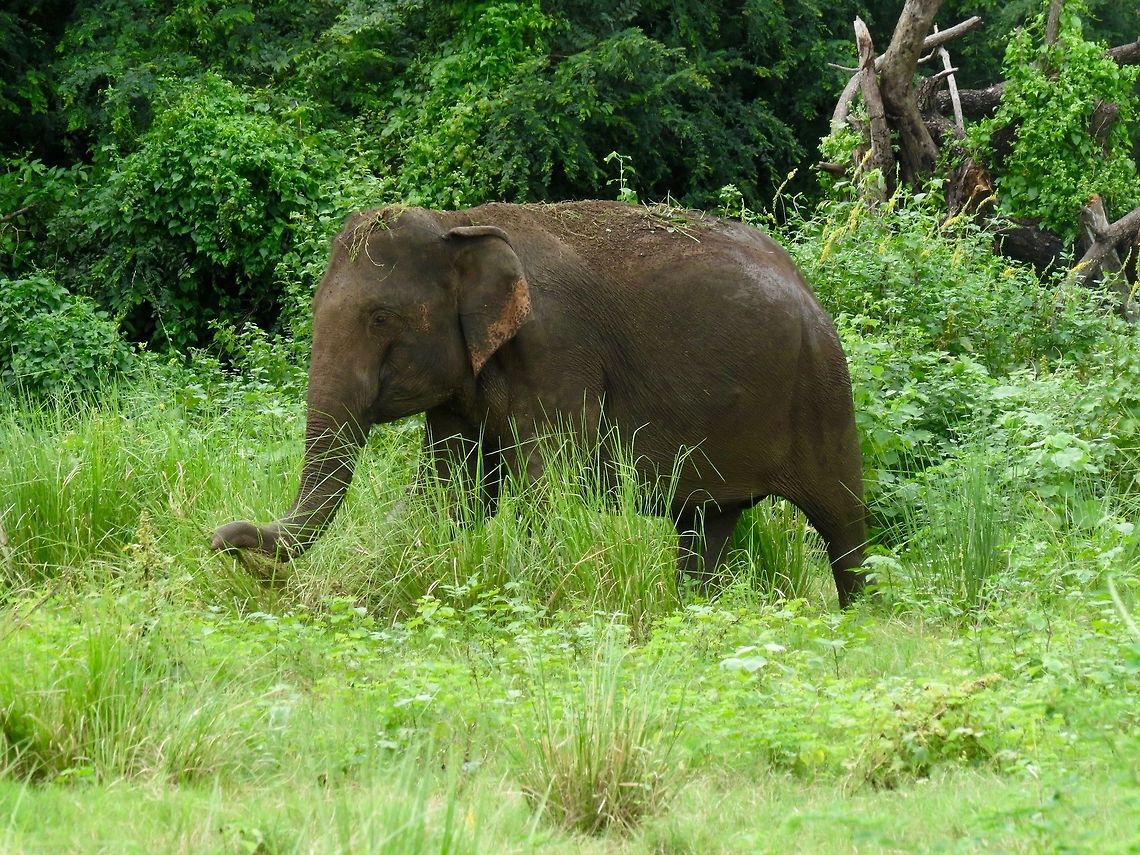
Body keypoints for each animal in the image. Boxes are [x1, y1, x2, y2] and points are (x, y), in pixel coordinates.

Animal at [211, 200, 867, 606]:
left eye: (380, 318)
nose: (222, 543)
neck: (460, 224)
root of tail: (808, 285)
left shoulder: (558, 351)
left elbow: (545, 488)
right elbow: (448, 493)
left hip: (823, 388)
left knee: (841, 517)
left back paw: (860, 617)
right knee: (706, 523)